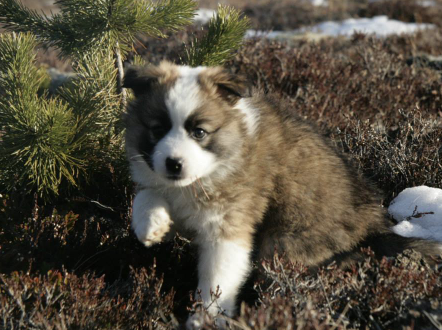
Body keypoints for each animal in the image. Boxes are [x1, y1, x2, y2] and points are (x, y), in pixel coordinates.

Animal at [121, 60, 442, 326]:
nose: (173, 164)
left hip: (283, 243)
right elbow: (147, 194)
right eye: (157, 129)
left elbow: (217, 280)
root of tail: (375, 226)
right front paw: (150, 223)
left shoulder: (227, 227)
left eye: (199, 132)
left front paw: (206, 319)